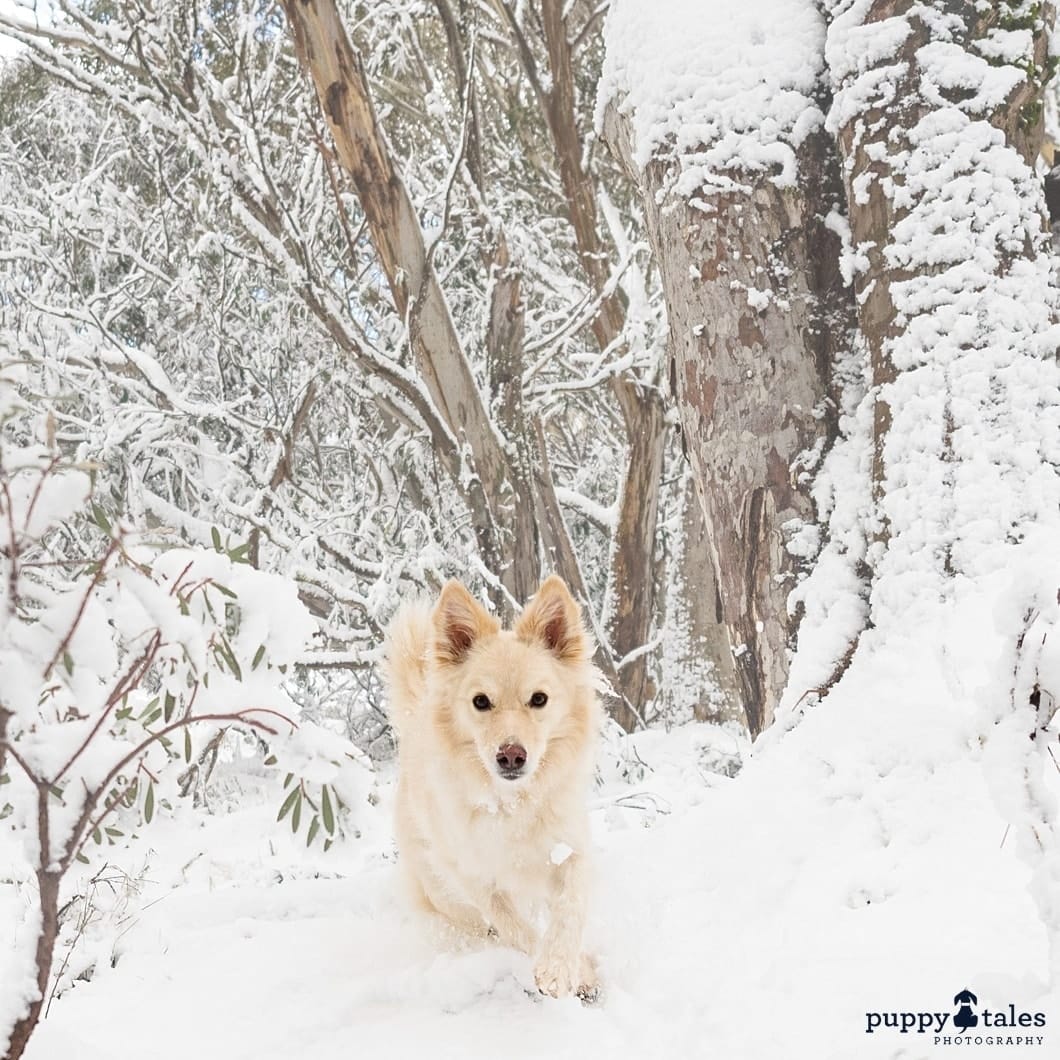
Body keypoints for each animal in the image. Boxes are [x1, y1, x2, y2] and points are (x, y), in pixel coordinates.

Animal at [383, 576, 602, 996]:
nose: (511, 756)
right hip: (444, 895)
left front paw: (561, 965)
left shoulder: (573, 849)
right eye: (481, 702)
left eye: (539, 699)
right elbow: (514, 927)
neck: (513, 804)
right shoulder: (475, 879)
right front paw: (568, 970)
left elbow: (571, 907)